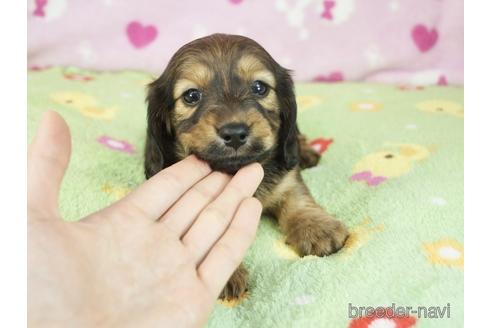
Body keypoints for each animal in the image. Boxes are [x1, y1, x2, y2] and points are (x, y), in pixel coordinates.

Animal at [144, 33, 348, 300]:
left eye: (259, 87)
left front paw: (316, 228)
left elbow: (297, 197)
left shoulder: (286, 176)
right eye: (191, 95)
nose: (234, 133)